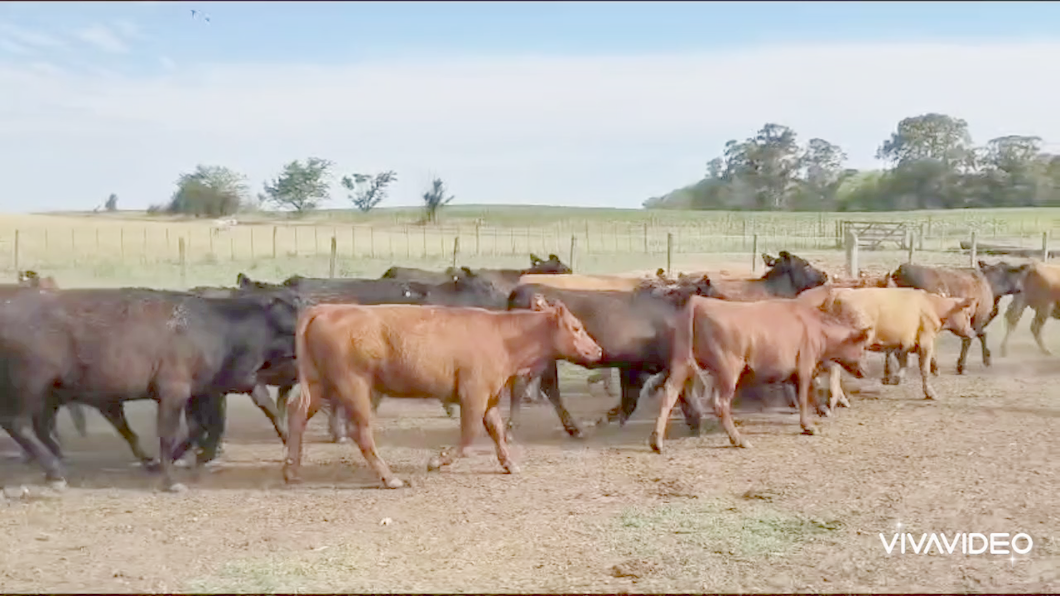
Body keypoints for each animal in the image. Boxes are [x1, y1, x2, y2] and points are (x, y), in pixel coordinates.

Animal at [1, 286, 298, 487]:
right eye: (292, 317)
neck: (217, 326)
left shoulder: (203, 391)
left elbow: (203, 427)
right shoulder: (174, 392)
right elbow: (168, 433)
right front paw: (169, 479)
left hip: (49, 394)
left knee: (40, 427)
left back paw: (58, 463)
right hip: (30, 387)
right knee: (17, 423)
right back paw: (54, 470)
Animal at [284, 296, 606, 487]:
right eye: (576, 327)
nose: (598, 350)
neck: (503, 336)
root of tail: (326, 308)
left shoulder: (489, 396)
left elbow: (497, 431)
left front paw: (509, 464)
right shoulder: (473, 394)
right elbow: (469, 435)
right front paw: (437, 461)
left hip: (319, 384)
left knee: (297, 415)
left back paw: (292, 468)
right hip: (354, 385)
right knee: (360, 431)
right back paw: (390, 478)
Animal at [648, 292, 873, 449]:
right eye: (862, 348)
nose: (865, 371)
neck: (816, 327)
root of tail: (698, 301)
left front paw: (822, 411)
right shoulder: (805, 367)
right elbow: (804, 396)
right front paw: (808, 426)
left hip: (682, 363)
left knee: (669, 395)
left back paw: (657, 442)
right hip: (729, 369)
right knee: (720, 403)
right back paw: (738, 440)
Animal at [818, 286, 975, 398]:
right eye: (967, 314)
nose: (972, 333)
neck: (932, 306)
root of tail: (836, 294)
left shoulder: (902, 343)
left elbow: (904, 363)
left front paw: (895, 379)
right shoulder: (926, 343)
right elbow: (924, 369)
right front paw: (930, 393)